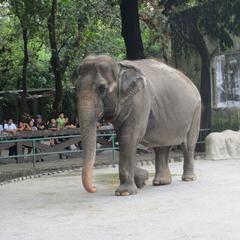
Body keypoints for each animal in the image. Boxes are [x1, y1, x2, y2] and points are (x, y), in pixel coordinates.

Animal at [72, 54, 202, 197]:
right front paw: (141, 179)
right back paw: (161, 182)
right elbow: (124, 138)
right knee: (162, 146)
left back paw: (188, 178)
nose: (94, 188)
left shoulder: (140, 101)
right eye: (76, 88)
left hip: (196, 111)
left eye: (102, 88)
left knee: (188, 144)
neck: (119, 66)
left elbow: (129, 137)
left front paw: (125, 192)